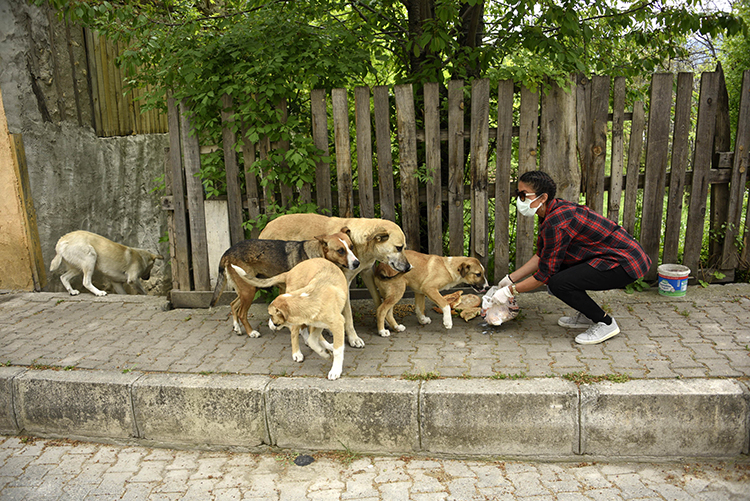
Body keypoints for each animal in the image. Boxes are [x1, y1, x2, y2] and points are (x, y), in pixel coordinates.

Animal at [209, 229, 362, 338]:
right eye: (340, 250)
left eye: (351, 247)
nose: (357, 263)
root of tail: (227, 251)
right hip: (249, 290)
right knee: (241, 313)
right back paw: (251, 332)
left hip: (248, 286)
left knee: (233, 304)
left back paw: (237, 327)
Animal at [258, 214, 412, 348]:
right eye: (399, 247)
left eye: (404, 247)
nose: (408, 268)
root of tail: (266, 226)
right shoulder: (344, 283)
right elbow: (349, 316)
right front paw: (354, 338)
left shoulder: (367, 273)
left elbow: (379, 301)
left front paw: (389, 324)